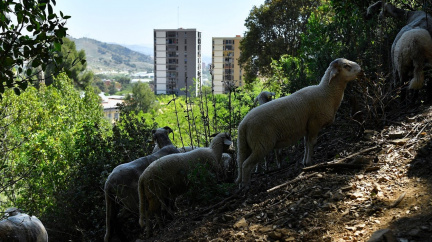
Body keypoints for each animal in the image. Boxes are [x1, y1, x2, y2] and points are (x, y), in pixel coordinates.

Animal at [235, 58, 362, 187]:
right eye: (346, 66)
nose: (361, 70)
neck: (326, 93)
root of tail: (243, 125)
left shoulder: (308, 127)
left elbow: (306, 144)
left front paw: (304, 162)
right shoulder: (314, 123)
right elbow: (312, 143)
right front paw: (310, 162)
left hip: (246, 145)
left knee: (240, 163)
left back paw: (241, 184)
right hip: (262, 143)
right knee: (246, 165)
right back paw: (246, 186)